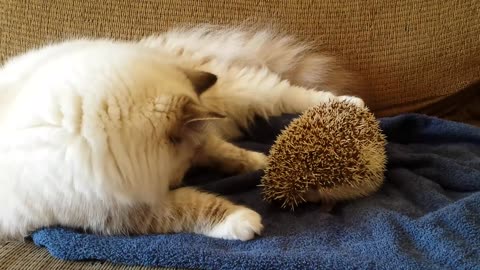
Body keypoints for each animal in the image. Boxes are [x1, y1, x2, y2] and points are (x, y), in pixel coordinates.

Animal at [0, 25, 364, 240]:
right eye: (180, 170)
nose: (177, 178)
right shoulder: (114, 209)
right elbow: (191, 204)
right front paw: (247, 206)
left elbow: (206, 179)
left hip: (232, 91)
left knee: (285, 93)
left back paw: (349, 103)